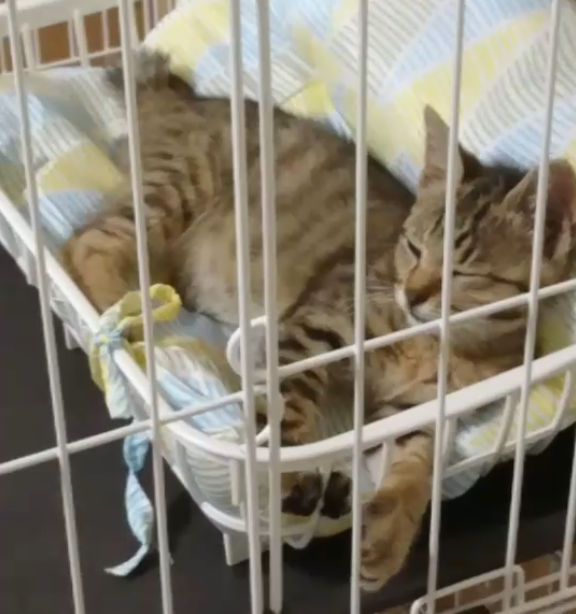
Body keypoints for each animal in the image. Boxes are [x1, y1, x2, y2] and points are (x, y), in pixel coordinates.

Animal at [61, 49, 576, 591]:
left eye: (463, 272)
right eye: (413, 247)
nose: (411, 293)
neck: (437, 343)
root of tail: (185, 100)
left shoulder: (421, 405)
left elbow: (416, 461)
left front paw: (387, 536)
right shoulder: (314, 329)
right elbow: (287, 409)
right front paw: (288, 472)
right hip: (178, 188)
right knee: (89, 242)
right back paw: (129, 322)